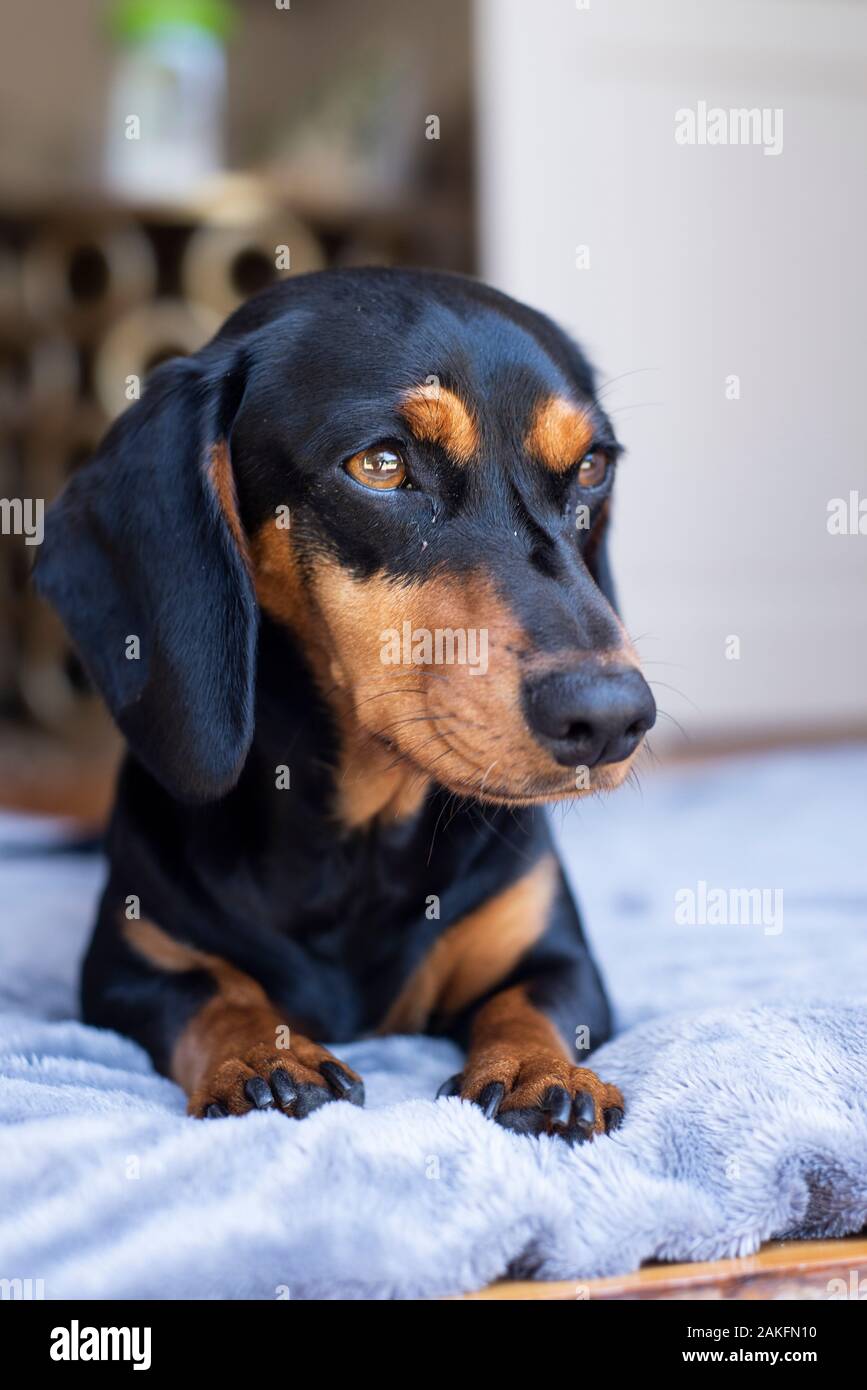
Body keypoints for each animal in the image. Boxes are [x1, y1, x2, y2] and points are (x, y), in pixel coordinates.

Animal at [35, 268, 655, 1139]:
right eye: (382, 464)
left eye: (593, 466)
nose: (608, 718)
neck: (357, 838)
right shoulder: (131, 965)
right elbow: (217, 995)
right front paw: (261, 1059)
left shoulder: (558, 957)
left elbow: (528, 1005)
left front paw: (542, 1071)